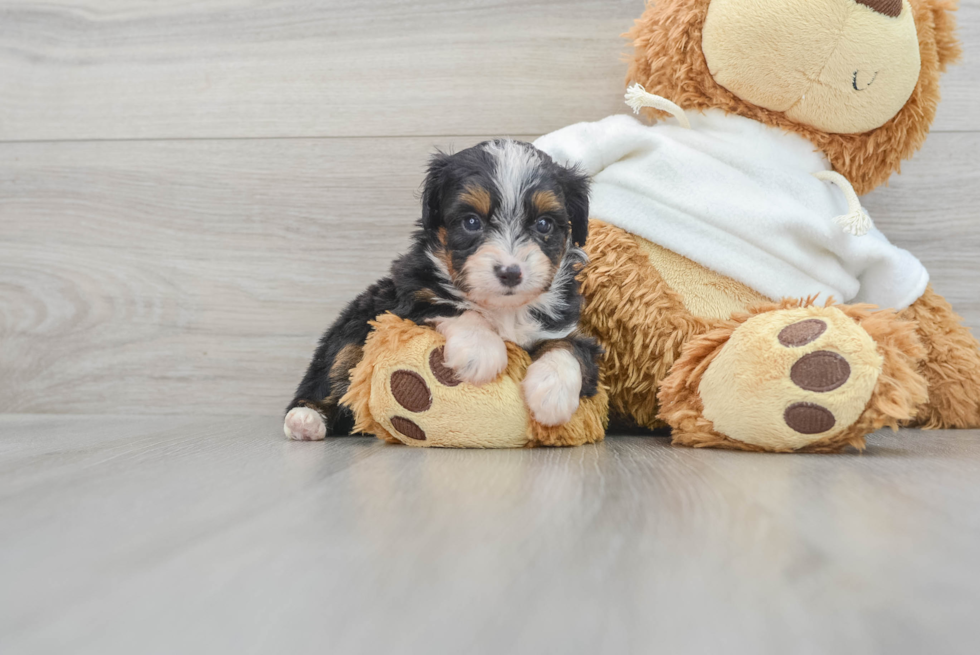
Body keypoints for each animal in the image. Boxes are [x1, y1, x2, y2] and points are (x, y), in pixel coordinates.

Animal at [284, 138, 600, 440]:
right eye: (471, 221)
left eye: (544, 224)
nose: (510, 272)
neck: (504, 309)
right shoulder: (408, 295)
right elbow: (452, 306)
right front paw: (480, 351)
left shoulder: (566, 326)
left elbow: (570, 348)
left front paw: (552, 394)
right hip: (355, 325)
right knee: (334, 367)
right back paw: (305, 418)